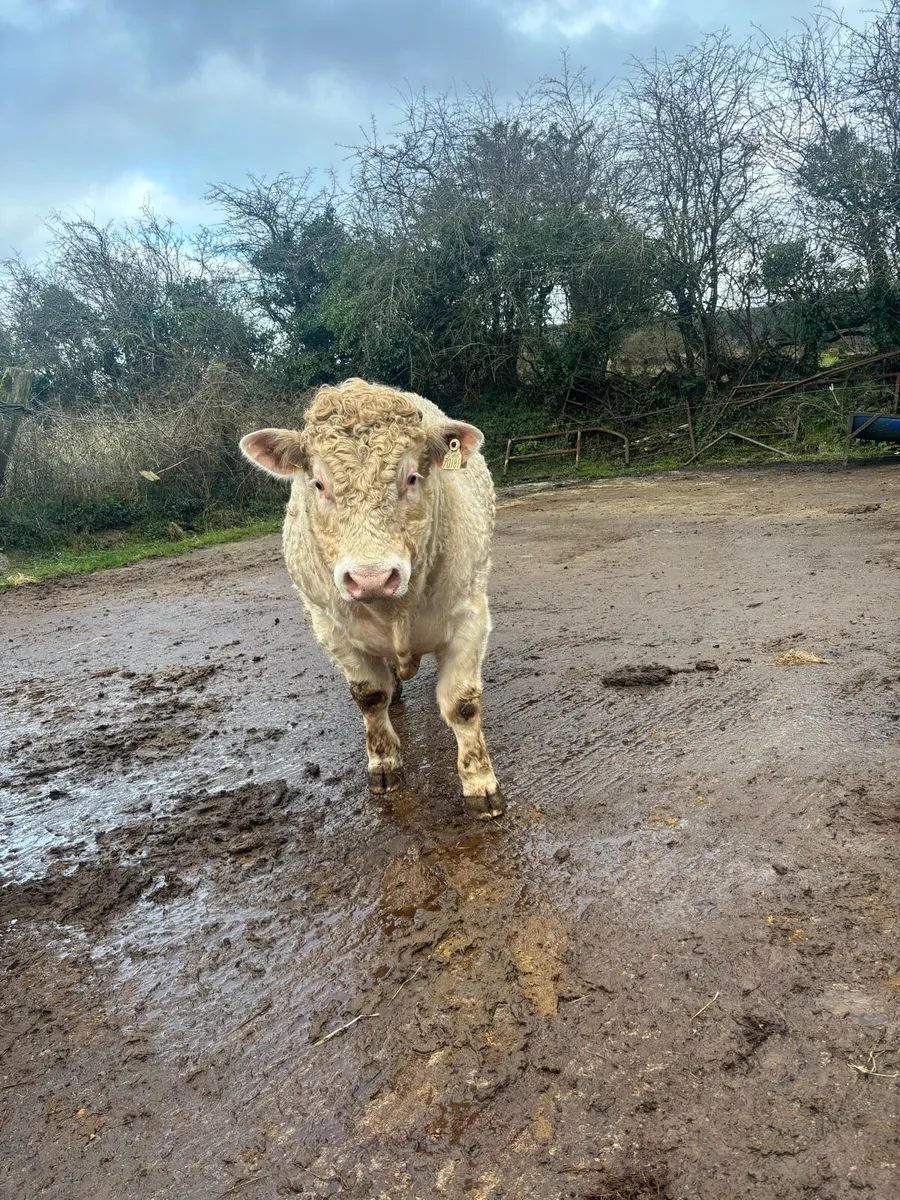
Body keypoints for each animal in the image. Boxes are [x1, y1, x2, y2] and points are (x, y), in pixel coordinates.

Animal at [239, 378, 505, 820]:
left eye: (412, 477)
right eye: (319, 484)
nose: (372, 579)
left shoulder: (469, 615)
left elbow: (462, 705)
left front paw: (480, 784)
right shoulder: (332, 628)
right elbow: (370, 697)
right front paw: (384, 764)